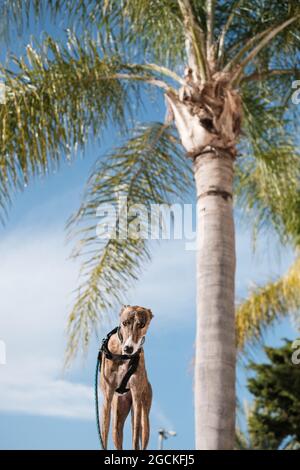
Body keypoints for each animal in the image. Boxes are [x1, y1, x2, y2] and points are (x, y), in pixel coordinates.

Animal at [99, 306, 154, 450]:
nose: (128, 348)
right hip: (117, 416)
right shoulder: (108, 396)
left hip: (144, 415)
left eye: (141, 325)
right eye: (124, 323)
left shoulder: (136, 394)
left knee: (142, 433)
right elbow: (104, 436)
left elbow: (135, 438)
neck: (123, 356)